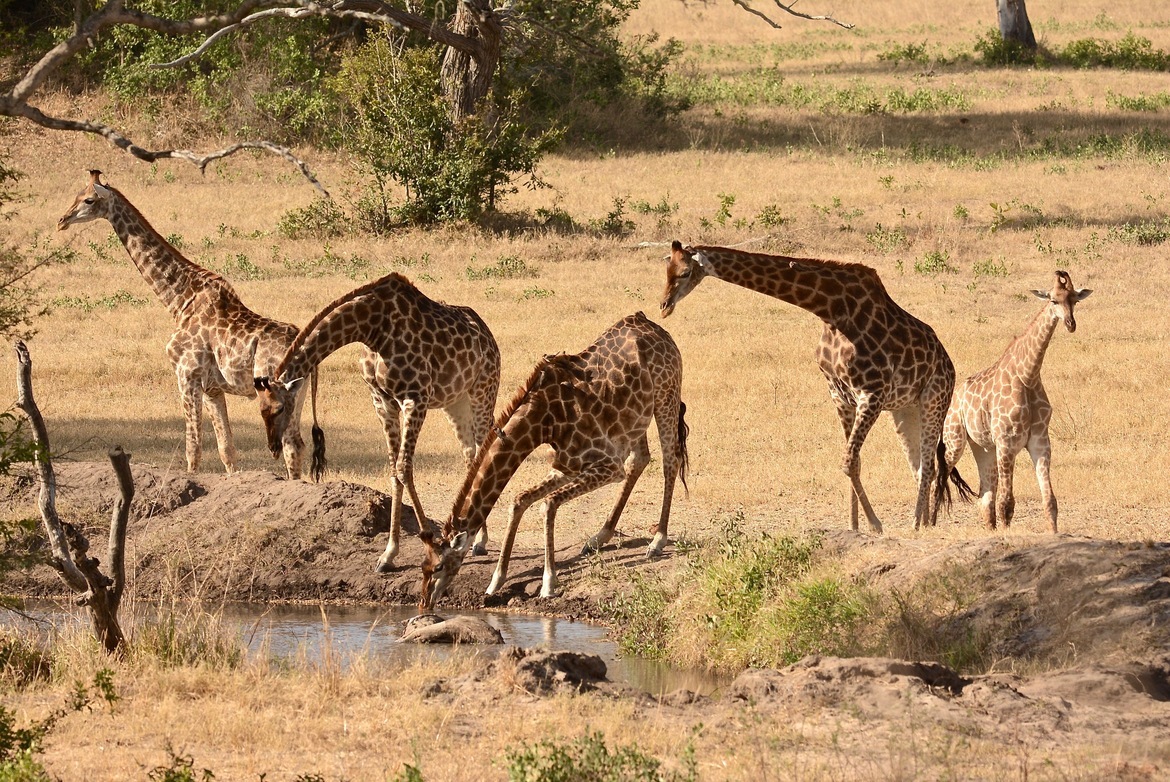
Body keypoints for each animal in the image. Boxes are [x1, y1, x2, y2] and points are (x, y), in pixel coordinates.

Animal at [57, 170, 319, 479]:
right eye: (75, 194)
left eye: (88, 199)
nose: (61, 220)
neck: (179, 299)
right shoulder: (212, 388)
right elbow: (226, 449)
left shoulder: (186, 375)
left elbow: (193, 449)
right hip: (298, 395)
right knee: (296, 445)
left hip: (278, 394)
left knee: (290, 445)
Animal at [253, 271, 501, 572]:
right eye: (261, 409)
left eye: (279, 408)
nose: (273, 447)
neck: (371, 327)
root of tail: (488, 334)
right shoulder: (382, 401)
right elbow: (394, 470)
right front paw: (388, 555)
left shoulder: (415, 397)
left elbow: (404, 467)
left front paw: (432, 544)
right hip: (456, 402)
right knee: (470, 455)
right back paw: (472, 537)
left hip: (483, 390)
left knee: (484, 449)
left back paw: (480, 540)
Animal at [418, 312, 689, 610]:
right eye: (423, 567)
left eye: (439, 567)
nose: (424, 603)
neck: (542, 423)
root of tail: (653, 326)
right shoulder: (566, 466)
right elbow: (520, 500)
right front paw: (495, 582)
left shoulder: (607, 466)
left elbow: (547, 505)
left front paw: (548, 584)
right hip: (634, 420)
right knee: (640, 460)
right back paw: (599, 537)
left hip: (666, 396)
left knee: (670, 459)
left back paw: (657, 540)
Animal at [661, 240, 959, 533]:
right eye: (666, 269)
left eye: (685, 272)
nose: (664, 305)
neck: (831, 310)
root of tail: (948, 362)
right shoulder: (839, 394)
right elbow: (855, 462)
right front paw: (854, 526)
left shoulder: (872, 392)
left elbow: (848, 461)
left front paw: (874, 524)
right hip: (905, 409)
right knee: (920, 466)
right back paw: (923, 522)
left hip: (935, 399)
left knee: (929, 465)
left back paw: (918, 524)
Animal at [943, 271, 1091, 533]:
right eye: (1053, 300)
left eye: (1075, 300)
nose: (1070, 324)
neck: (1027, 375)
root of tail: (954, 399)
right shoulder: (1007, 442)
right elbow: (1007, 502)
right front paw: (1006, 535)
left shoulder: (1040, 441)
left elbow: (1049, 500)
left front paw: (1054, 534)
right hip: (955, 440)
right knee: (935, 477)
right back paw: (924, 524)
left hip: (982, 447)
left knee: (984, 496)